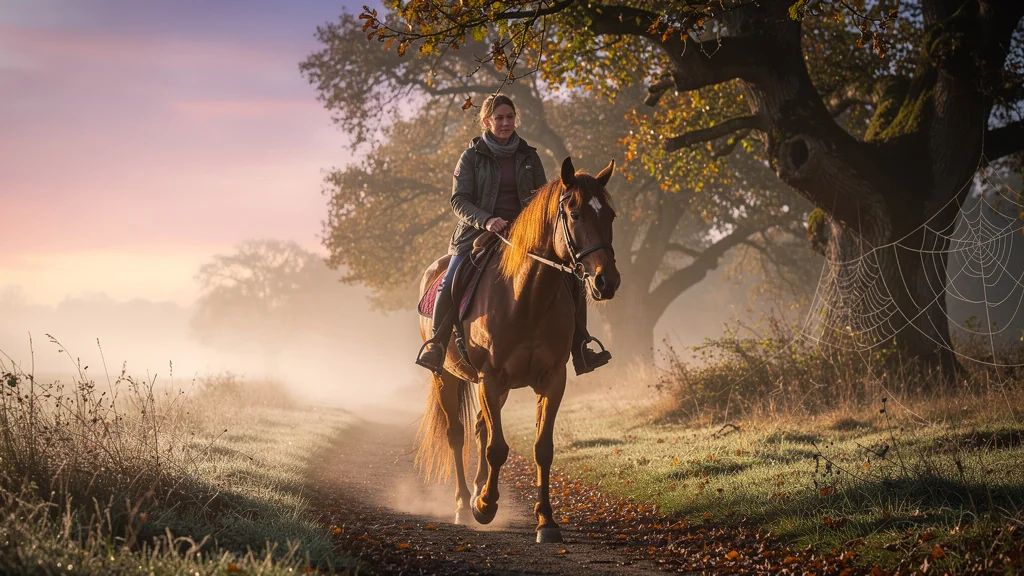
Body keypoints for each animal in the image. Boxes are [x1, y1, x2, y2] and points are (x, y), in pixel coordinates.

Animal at [415, 156, 620, 544]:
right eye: (574, 213)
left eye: (611, 215)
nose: (607, 281)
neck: (525, 298)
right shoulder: (491, 377)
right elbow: (497, 448)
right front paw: (485, 507)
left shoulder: (552, 379)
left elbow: (542, 449)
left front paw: (546, 522)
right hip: (446, 377)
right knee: (457, 436)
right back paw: (464, 503)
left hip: (499, 387)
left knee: (481, 427)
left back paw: (478, 490)